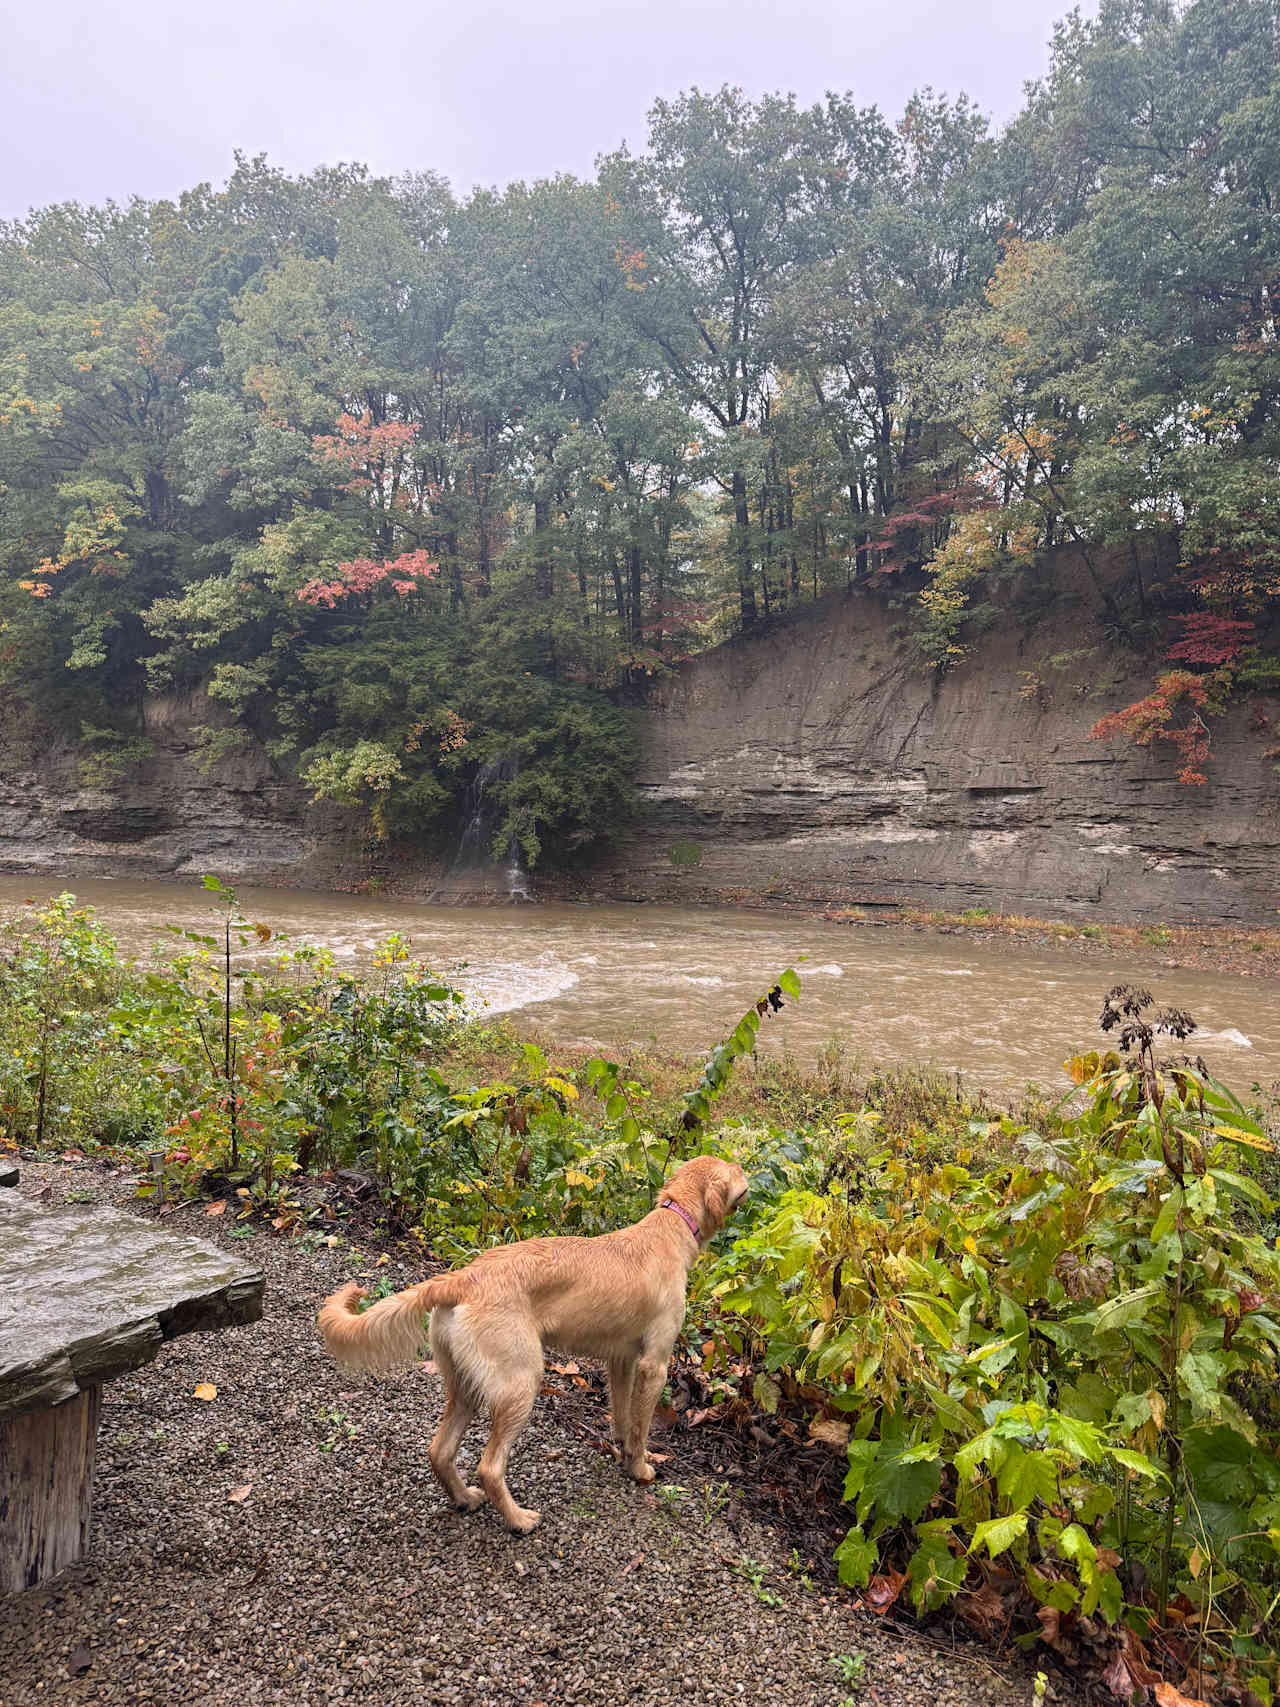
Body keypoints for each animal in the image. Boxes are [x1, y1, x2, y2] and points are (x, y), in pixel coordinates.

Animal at [314, 1160, 747, 1536]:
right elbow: (641, 1427)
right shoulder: (653, 1365)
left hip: (466, 1386)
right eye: (736, 1168)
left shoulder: (621, 1361)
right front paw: (640, 1469)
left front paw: (623, 1454)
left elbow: (623, 1418)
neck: (670, 1225)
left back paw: (464, 1498)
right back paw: (518, 1520)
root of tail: (464, 1277)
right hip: (520, 1383)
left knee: (439, 1450)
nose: (750, 1177)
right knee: (489, 1467)